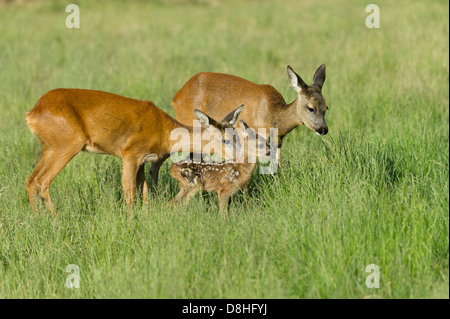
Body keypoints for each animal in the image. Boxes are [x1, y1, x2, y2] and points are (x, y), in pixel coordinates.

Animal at [24, 89, 243, 216]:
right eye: (224, 139)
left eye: (236, 136)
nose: (240, 158)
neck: (164, 130)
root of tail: (32, 113)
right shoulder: (130, 154)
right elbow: (129, 191)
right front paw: (129, 222)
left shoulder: (142, 161)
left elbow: (144, 191)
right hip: (66, 146)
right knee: (42, 181)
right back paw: (54, 220)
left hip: (50, 148)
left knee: (31, 180)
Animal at [149, 64, 328, 185]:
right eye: (311, 107)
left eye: (326, 108)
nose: (323, 129)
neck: (274, 115)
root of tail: (176, 98)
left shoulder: (278, 142)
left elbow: (278, 165)